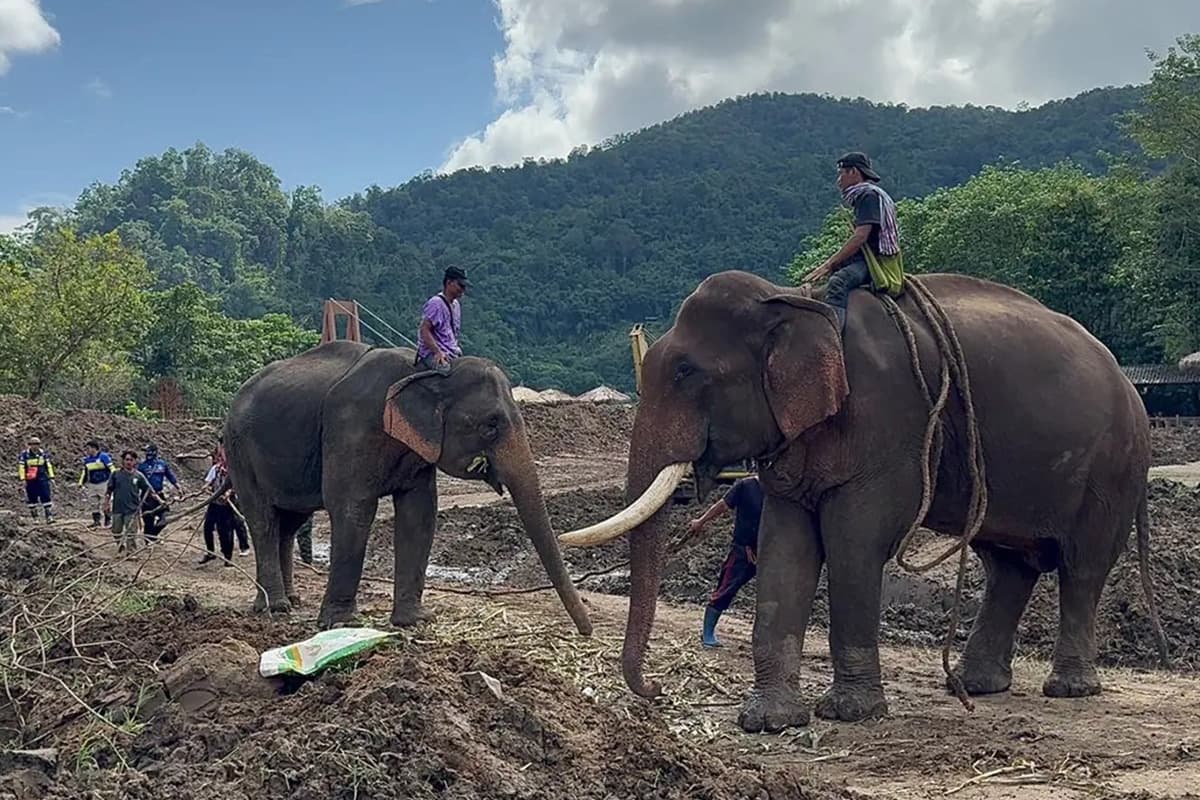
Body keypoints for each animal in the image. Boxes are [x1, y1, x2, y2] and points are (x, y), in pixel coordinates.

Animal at [223, 340, 593, 636]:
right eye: (490, 426)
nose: (585, 632)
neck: (430, 373)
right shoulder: (351, 428)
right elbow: (353, 508)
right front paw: (341, 625)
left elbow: (420, 513)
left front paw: (414, 621)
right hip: (239, 450)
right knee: (263, 520)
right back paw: (275, 607)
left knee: (289, 522)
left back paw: (289, 599)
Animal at [560, 270, 1163, 732]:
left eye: (687, 373)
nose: (655, 691)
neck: (795, 300)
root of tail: (1132, 388)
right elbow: (786, 547)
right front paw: (767, 721)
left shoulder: (890, 422)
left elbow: (854, 540)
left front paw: (850, 713)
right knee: (1008, 565)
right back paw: (973, 685)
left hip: (1113, 468)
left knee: (1082, 566)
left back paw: (1069, 689)